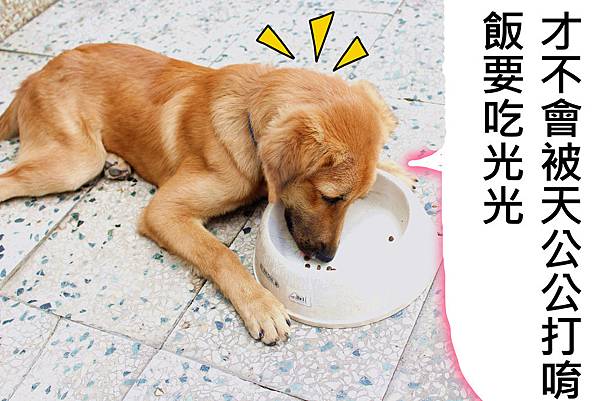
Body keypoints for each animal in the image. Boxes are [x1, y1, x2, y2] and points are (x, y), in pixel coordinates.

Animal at [0, 43, 412, 345]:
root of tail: (34, 74)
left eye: (355, 201)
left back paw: (117, 163)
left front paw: (396, 169)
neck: (246, 118)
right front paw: (259, 305)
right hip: (75, 162)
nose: (327, 257)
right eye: (330, 198)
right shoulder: (163, 210)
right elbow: (220, 254)